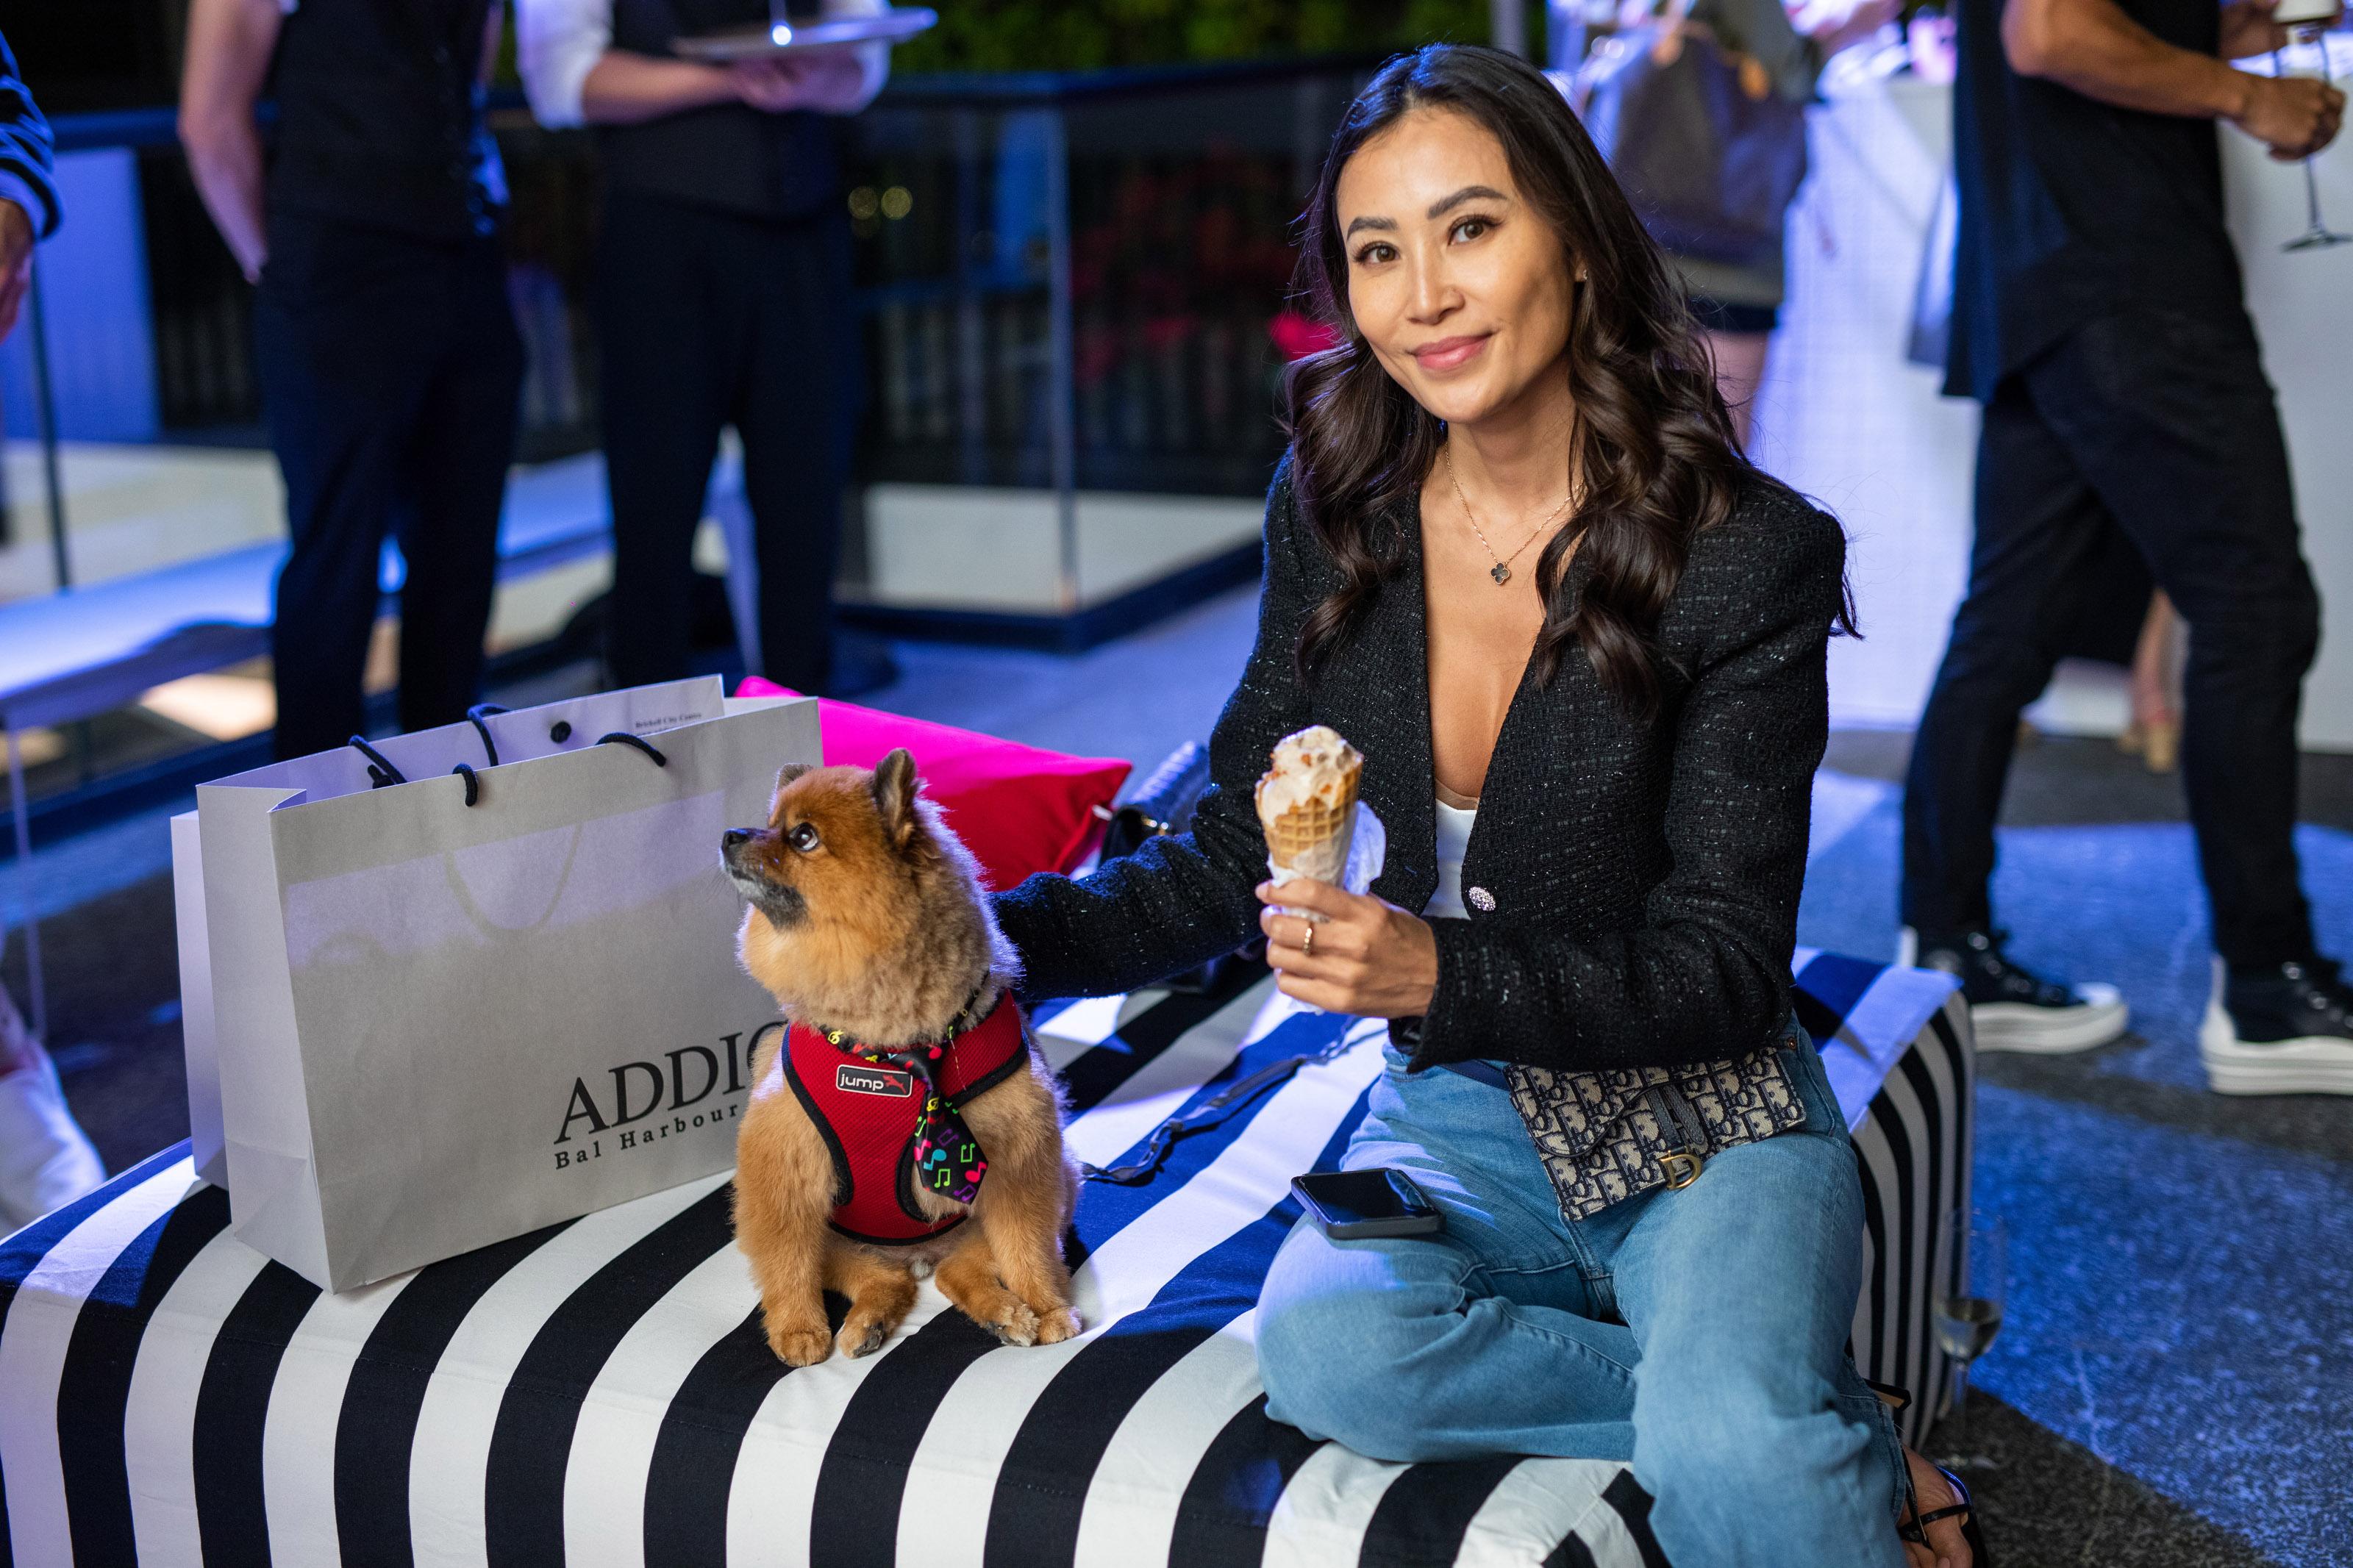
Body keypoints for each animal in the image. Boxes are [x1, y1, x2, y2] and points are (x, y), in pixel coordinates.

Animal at [720, 752, 1077, 1363]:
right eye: (769, 822)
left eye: (803, 836)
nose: (729, 834)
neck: (897, 1050)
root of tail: (917, 1255)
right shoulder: (782, 1168)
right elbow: (787, 1264)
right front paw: (797, 1328)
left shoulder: (1021, 1159)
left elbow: (1029, 1248)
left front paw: (1049, 1305)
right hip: (842, 1239)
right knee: (881, 1278)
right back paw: (869, 1321)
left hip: (1026, 1198)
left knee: (960, 1271)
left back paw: (1006, 1313)